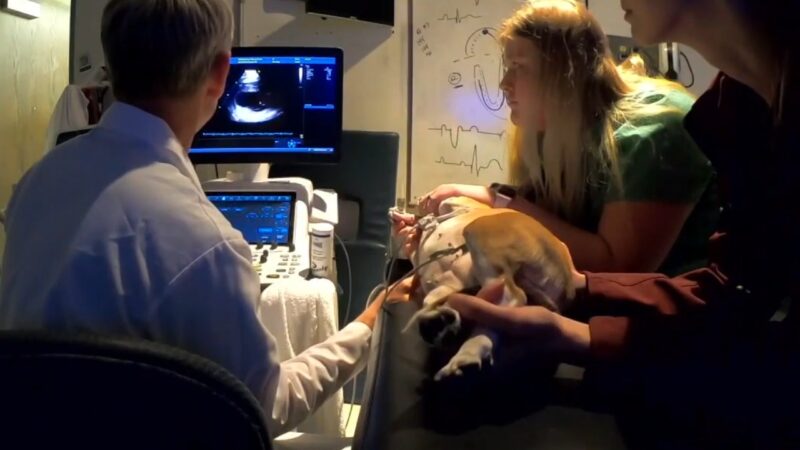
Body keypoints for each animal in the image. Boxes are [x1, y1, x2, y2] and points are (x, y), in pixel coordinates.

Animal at [400, 196, 576, 380]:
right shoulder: (446, 284)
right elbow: (431, 298)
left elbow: (445, 204)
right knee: (493, 319)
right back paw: (465, 351)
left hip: (479, 232)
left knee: (511, 296)